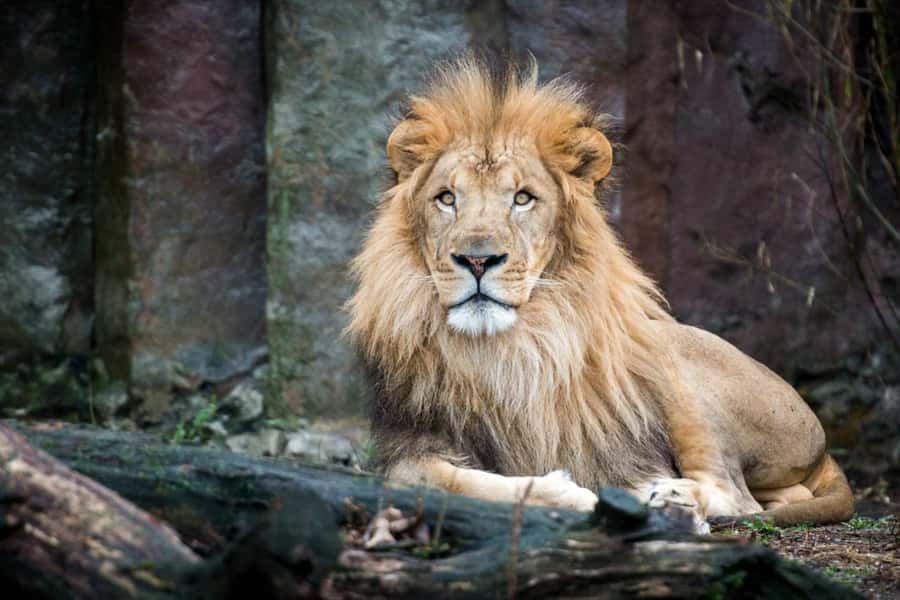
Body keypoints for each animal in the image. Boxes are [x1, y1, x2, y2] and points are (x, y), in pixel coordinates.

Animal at [346, 58, 854, 532]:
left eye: (523, 198)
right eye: (447, 198)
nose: (477, 260)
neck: (503, 351)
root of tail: (823, 441)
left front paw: (585, 493)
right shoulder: (409, 444)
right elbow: (434, 479)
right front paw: (566, 493)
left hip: (671, 360)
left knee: (737, 495)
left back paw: (666, 498)